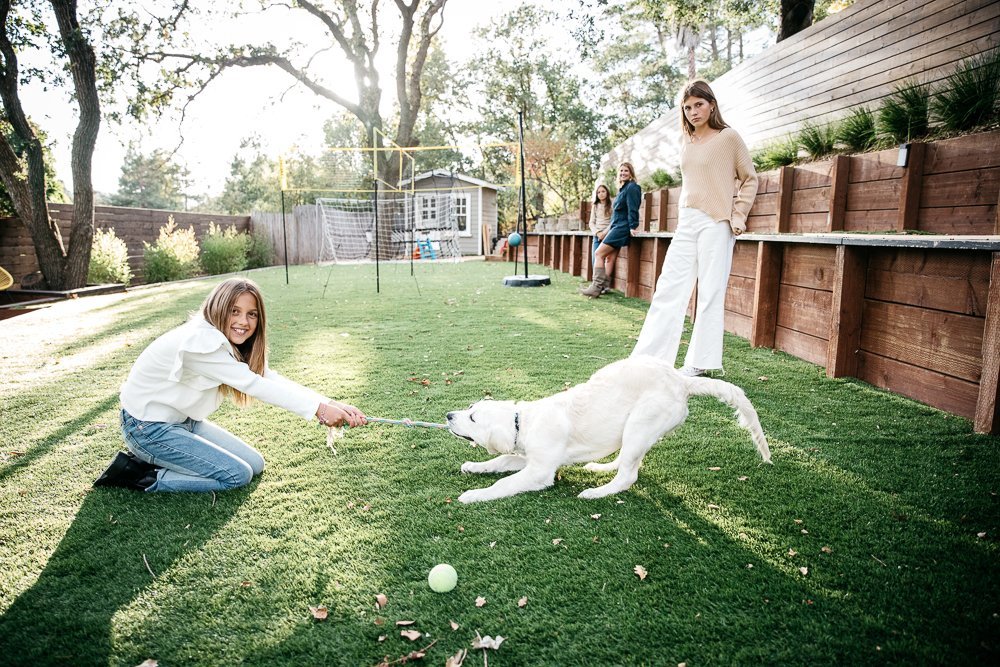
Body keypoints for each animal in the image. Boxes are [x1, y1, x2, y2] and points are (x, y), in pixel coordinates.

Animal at [446, 358, 772, 504]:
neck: (523, 421)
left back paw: (596, 492)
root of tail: (681, 380)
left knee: (629, 475)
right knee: (628, 461)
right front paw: (474, 466)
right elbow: (499, 461)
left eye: (472, 417)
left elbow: (504, 482)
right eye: (470, 407)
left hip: (642, 422)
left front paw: (474, 494)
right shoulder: (525, 456)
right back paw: (598, 468)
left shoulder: (539, 471)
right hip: (637, 430)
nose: (448, 415)